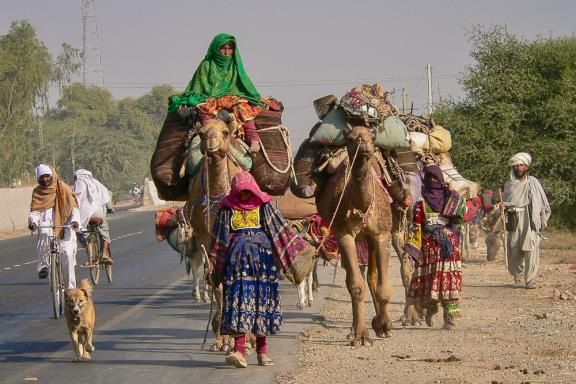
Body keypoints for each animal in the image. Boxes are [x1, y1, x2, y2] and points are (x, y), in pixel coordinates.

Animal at [316, 125, 396, 344]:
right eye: (350, 139)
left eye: (373, 137)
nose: (363, 143)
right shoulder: (344, 234)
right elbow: (356, 286)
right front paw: (360, 336)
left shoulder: (382, 235)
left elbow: (383, 288)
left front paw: (385, 326)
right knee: (356, 279)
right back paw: (356, 330)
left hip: (370, 239)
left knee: (372, 277)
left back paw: (379, 323)